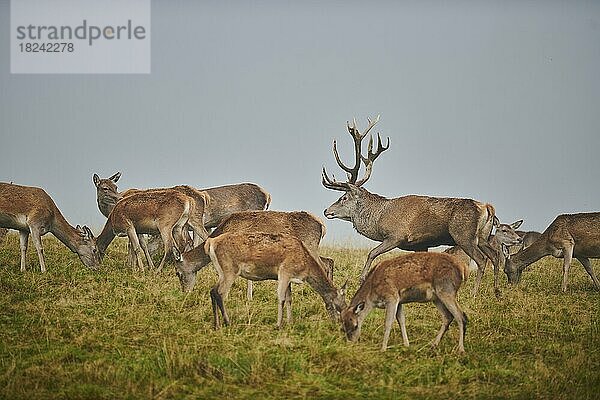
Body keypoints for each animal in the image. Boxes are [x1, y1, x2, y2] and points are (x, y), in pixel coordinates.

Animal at [175, 233, 346, 330]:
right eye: (339, 306)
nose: (338, 324)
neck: (305, 266)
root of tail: (210, 242)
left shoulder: (289, 278)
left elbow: (289, 299)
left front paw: (290, 322)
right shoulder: (284, 272)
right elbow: (281, 297)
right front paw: (278, 325)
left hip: (222, 271)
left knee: (212, 290)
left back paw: (216, 324)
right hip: (230, 269)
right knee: (220, 292)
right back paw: (227, 322)